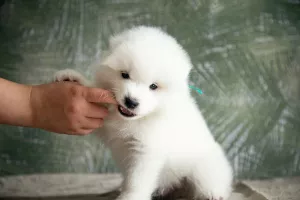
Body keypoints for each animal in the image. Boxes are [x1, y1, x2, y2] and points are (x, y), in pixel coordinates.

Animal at [53, 26, 232, 200]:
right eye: (124, 74)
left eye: (153, 86)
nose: (131, 101)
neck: (134, 119)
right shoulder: (106, 127)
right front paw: (73, 78)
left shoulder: (145, 150)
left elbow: (137, 180)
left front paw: (130, 196)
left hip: (205, 166)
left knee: (209, 180)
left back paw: (213, 193)